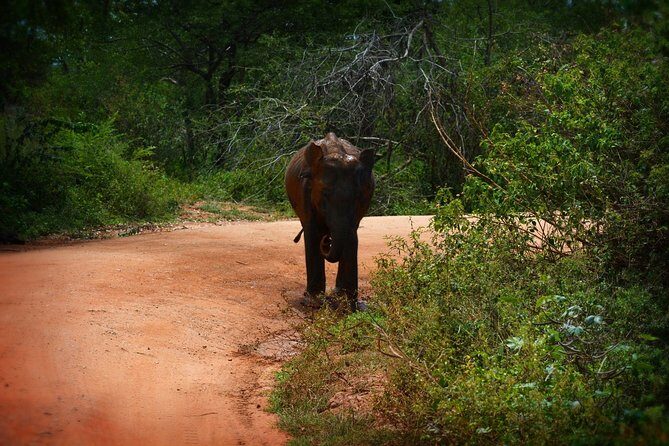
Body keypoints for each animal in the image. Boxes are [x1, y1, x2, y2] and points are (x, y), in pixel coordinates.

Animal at [285, 132, 375, 311]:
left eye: (358, 196)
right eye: (325, 194)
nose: (327, 241)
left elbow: (351, 236)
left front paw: (346, 305)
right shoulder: (306, 192)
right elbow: (312, 234)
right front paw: (314, 302)